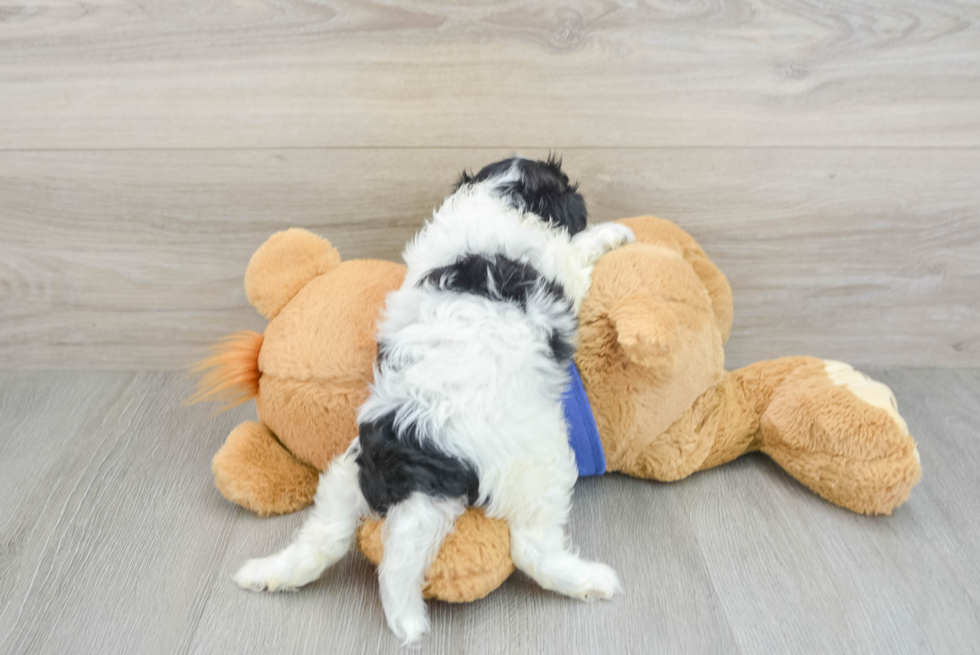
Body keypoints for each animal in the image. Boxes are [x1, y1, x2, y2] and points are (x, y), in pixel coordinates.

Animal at [235, 156, 636, 644]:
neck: (495, 199)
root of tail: (415, 455)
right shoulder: (560, 265)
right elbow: (579, 249)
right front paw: (613, 232)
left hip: (345, 475)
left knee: (324, 535)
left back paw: (267, 574)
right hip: (539, 464)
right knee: (530, 548)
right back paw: (590, 580)